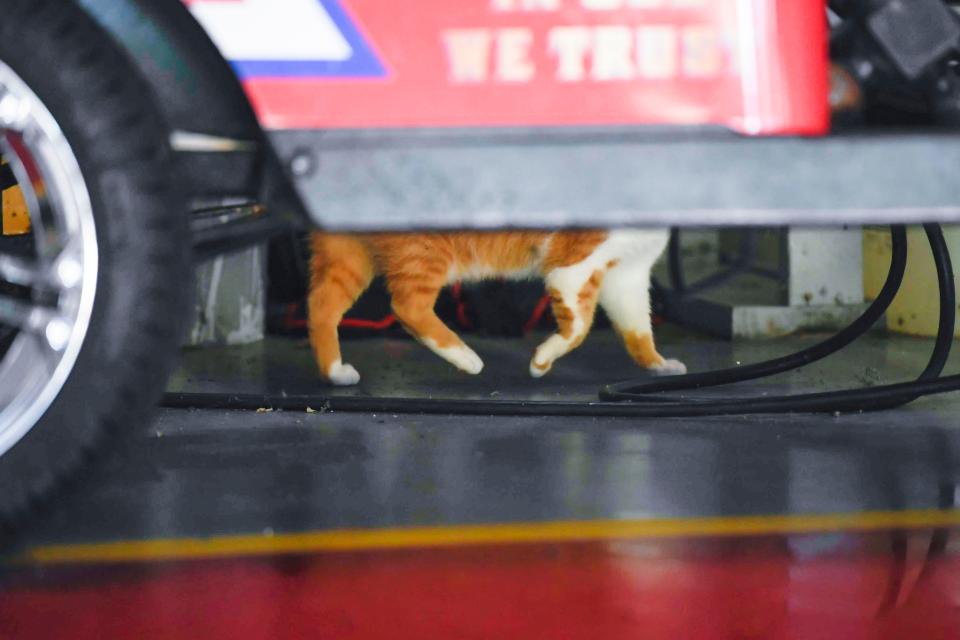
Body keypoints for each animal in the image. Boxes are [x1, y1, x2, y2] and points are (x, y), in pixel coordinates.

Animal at [308, 230, 684, 384]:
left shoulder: (628, 276)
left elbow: (638, 332)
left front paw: (658, 365)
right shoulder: (573, 265)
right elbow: (578, 328)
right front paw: (542, 360)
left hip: (348, 257)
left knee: (321, 306)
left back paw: (334, 373)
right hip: (427, 251)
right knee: (407, 306)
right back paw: (466, 358)